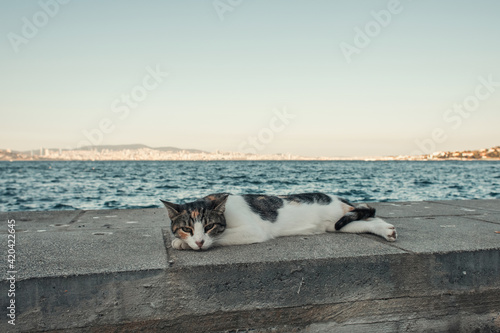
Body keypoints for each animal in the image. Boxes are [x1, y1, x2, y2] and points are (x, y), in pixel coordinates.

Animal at [162, 191, 396, 250]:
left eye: (209, 226)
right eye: (186, 228)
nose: (199, 242)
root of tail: (337, 198)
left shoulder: (253, 230)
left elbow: (220, 237)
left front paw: (182, 243)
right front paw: (183, 241)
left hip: (340, 219)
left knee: (368, 213)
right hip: (338, 225)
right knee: (368, 220)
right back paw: (387, 231)